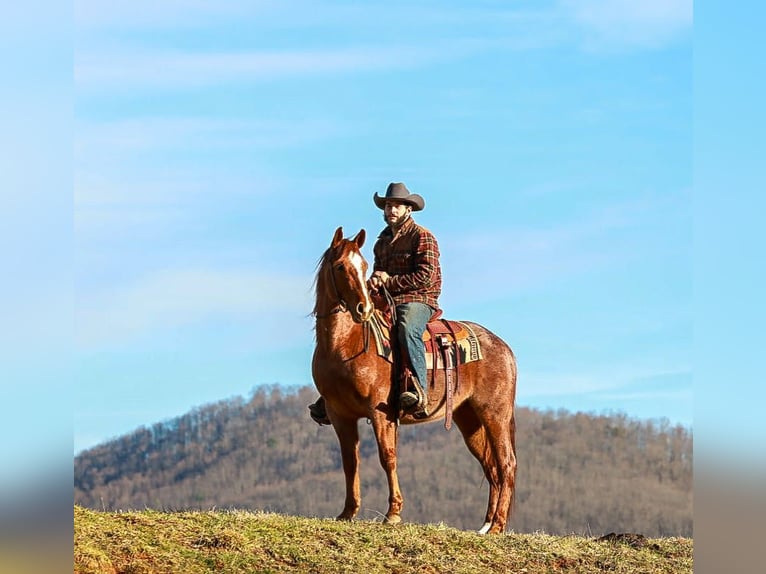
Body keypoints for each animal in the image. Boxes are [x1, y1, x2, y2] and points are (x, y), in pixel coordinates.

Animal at [311, 227, 518, 534]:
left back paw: (497, 526)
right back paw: (485, 526)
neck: (344, 345)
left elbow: (388, 457)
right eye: (340, 267)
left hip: (495, 414)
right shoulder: (340, 415)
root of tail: (503, 347)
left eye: (364, 267)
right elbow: (350, 462)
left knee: (506, 464)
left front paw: (393, 513)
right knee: (491, 467)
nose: (363, 309)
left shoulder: (380, 412)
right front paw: (348, 512)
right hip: (469, 419)